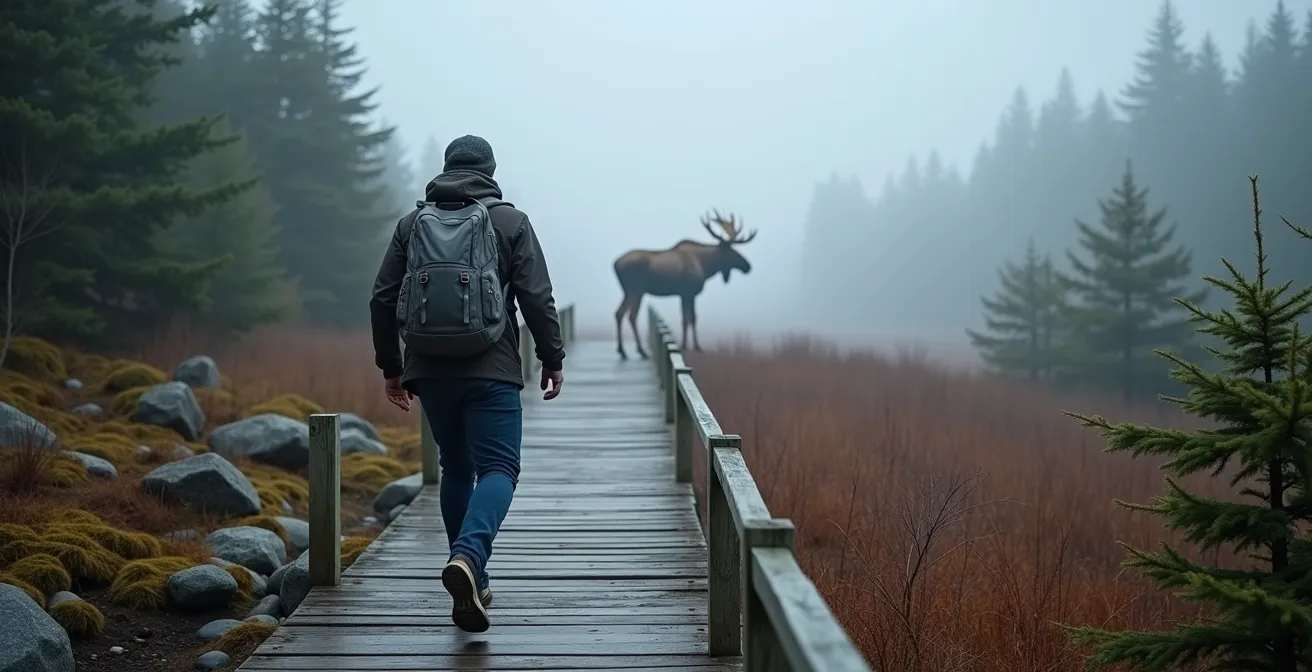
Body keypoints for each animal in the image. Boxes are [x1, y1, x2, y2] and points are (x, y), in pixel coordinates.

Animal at [611, 209, 757, 359]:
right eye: (733, 251)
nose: (748, 266)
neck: (705, 266)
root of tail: (615, 264)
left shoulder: (682, 295)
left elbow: (684, 319)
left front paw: (685, 344)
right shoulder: (690, 293)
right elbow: (692, 318)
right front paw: (696, 346)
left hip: (626, 291)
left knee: (618, 313)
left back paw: (622, 350)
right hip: (637, 290)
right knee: (631, 316)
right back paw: (641, 351)